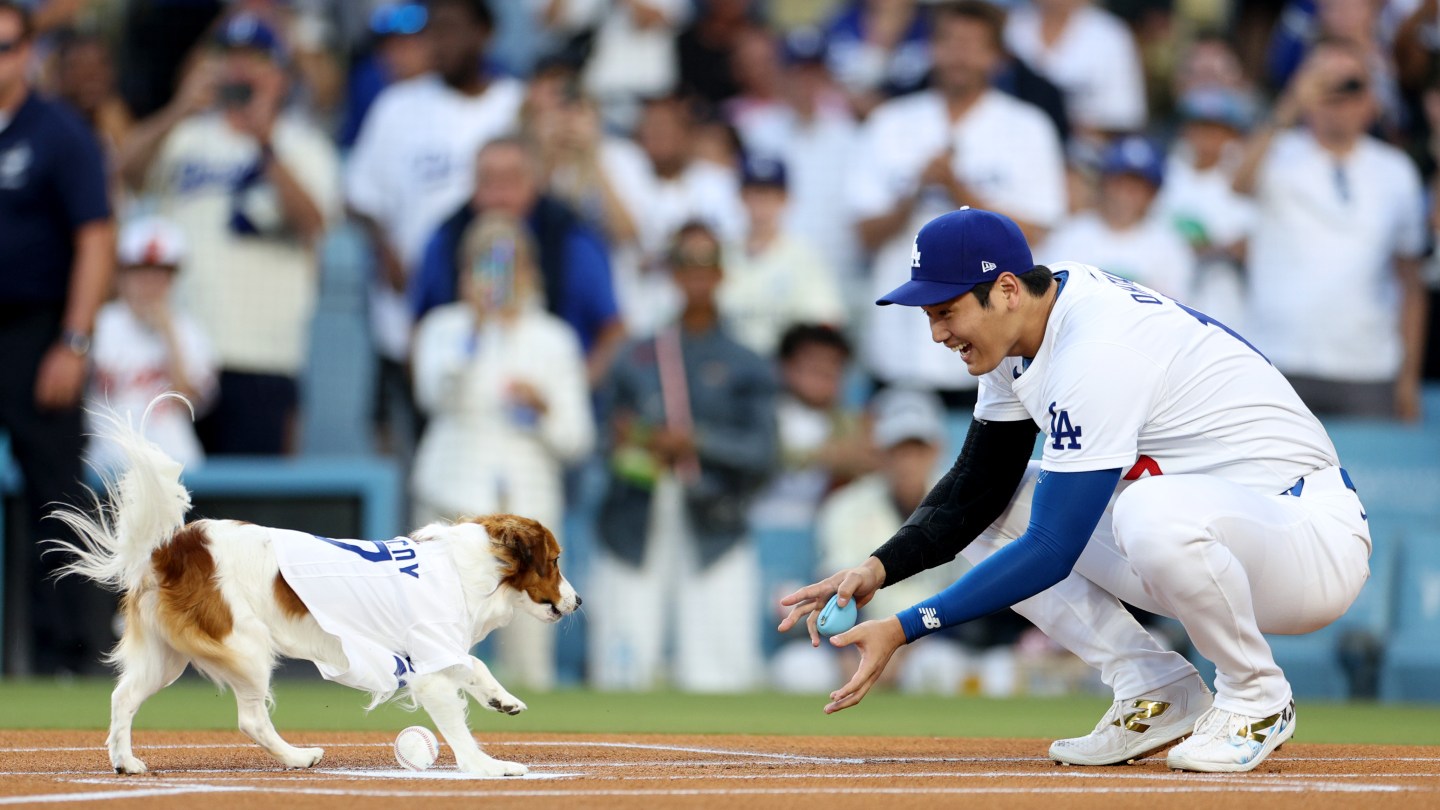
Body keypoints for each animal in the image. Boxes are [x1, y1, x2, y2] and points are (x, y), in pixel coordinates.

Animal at [50, 406, 578, 772]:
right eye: (554, 562)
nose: (577, 600)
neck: (467, 569)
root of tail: (176, 545)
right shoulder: (429, 666)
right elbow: (460, 726)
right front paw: (488, 767)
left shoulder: (436, 651)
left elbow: (474, 666)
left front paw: (501, 699)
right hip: (246, 647)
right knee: (251, 719)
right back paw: (296, 758)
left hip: (167, 657)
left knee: (122, 698)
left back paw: (125, 761)